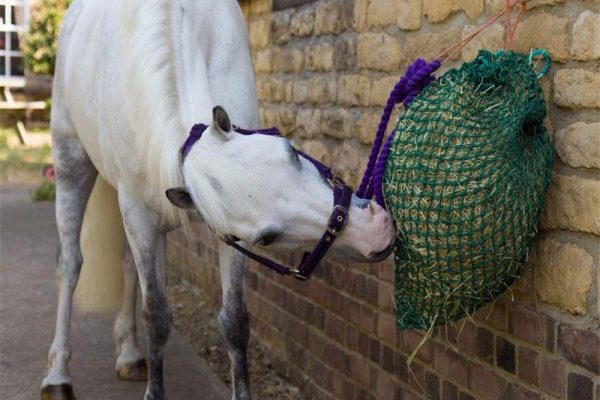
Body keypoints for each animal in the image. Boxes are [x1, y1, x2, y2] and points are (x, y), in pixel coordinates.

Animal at [42, 0, 394, 400]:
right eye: (267, 238)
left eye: (290, 150)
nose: (375, 232)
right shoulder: (138, 213)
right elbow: (157, 316)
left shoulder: (223, 235)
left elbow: (234, 320)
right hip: (70, 162)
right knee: (70, 264)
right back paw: (58, 376)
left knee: (127, 265)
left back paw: (130, 354)